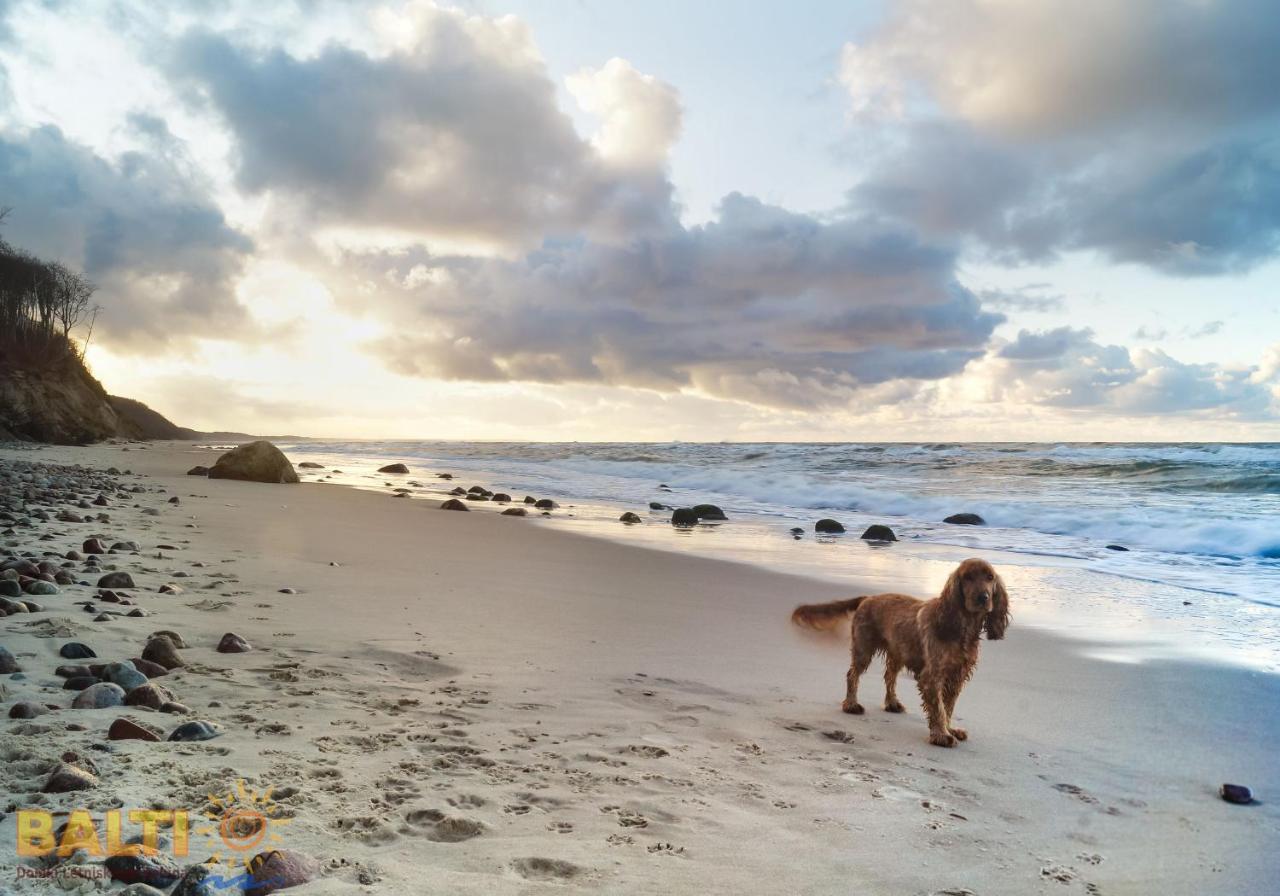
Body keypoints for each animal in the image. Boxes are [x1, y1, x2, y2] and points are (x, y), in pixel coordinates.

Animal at [788, 555, 1008, 747]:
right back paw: (851, 704)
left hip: (898, 652)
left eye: (990, 577)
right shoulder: (932, 676)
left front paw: (949, 729)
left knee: (889, 676)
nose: (983, 597)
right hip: (863, 648)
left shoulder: (957, 676)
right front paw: (941, 735)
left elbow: (948, 706)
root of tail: (868, 598)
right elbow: (938, 708)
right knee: (852, 675)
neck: (961, 627)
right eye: (968, 577)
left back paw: (892, 703)